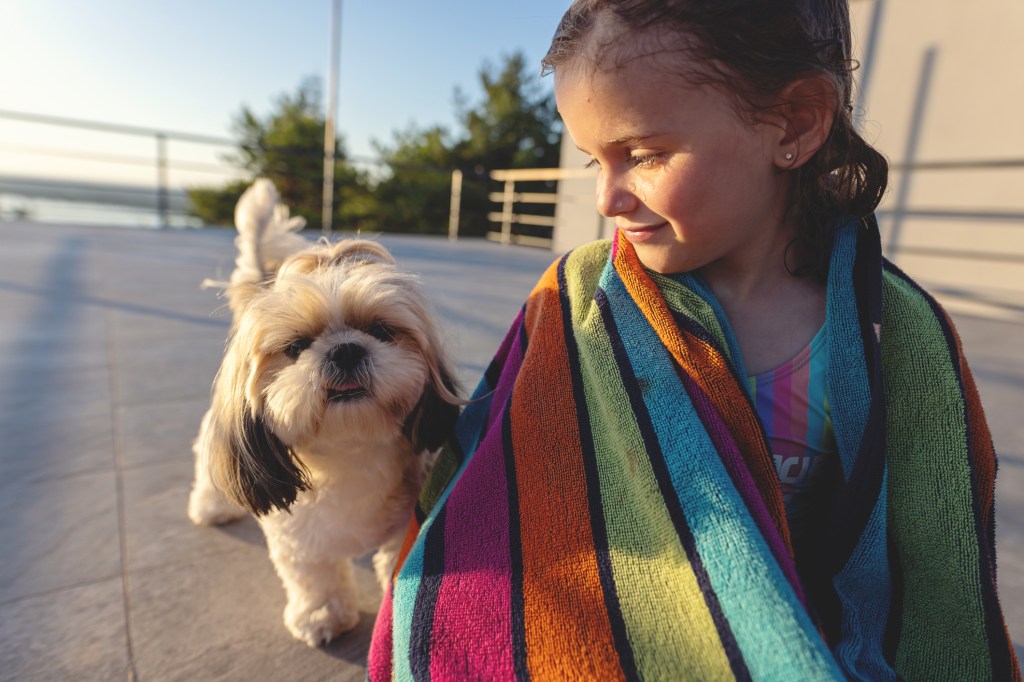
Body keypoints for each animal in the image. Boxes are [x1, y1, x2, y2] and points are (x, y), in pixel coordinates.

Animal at [188, 179, 460, 643]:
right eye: (296, 346)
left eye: (380, 331)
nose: (346, 349)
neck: (349, 451)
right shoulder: (295, 540)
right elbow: (315, 577)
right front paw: (322, 616)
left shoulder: (404, 522)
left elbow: (394, 558)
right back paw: (211, 507)